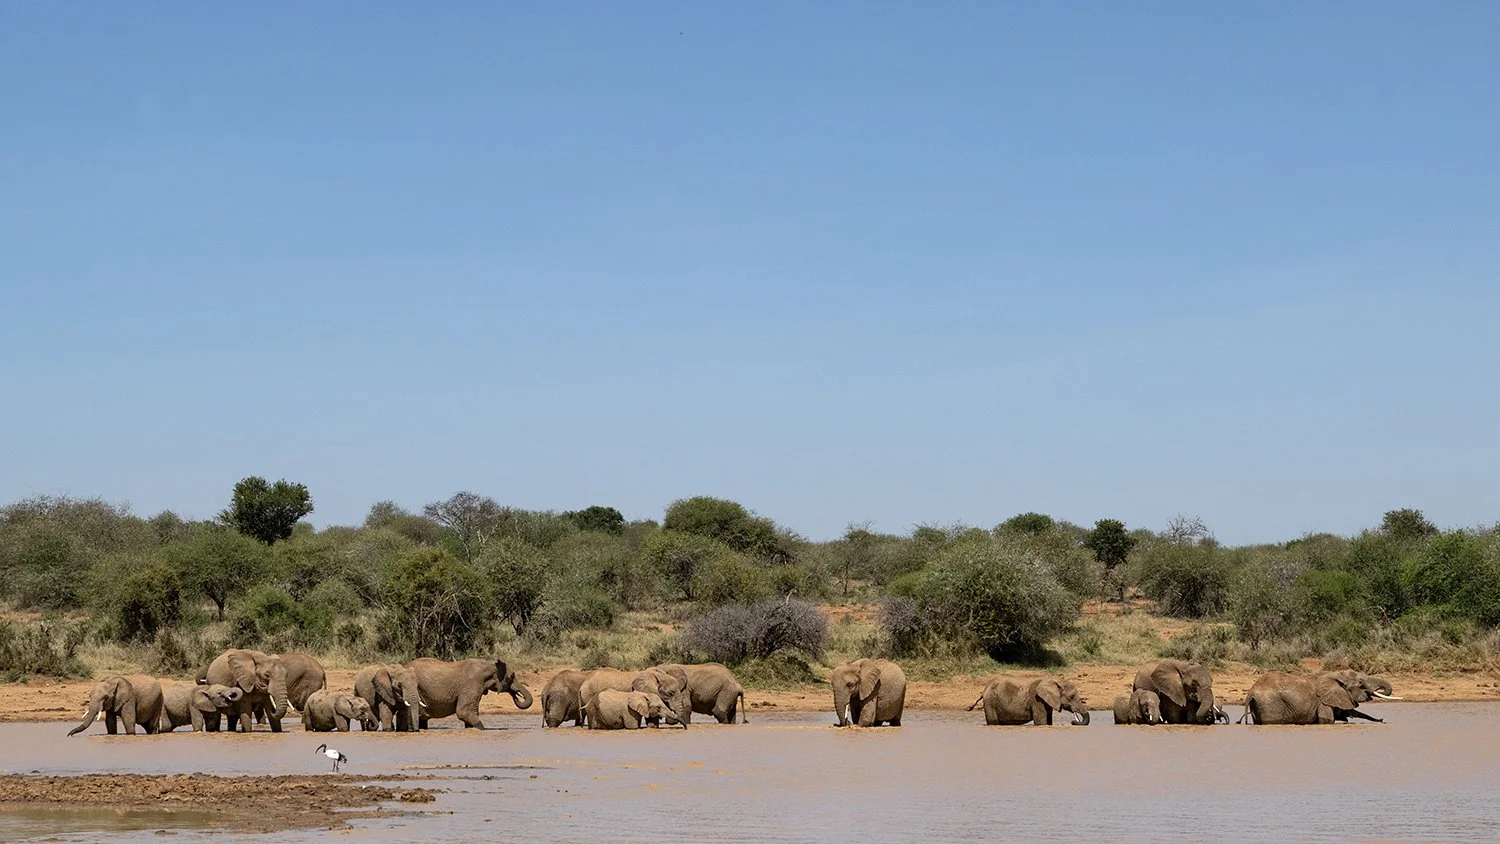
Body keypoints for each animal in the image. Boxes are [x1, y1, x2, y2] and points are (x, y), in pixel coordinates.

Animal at [1240, 670, 1398, 725]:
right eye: (1360, 683)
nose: (1383, 720)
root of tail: (1251, 691)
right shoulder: (1323, 703)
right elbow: (1327, 720)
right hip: (1270, 704)